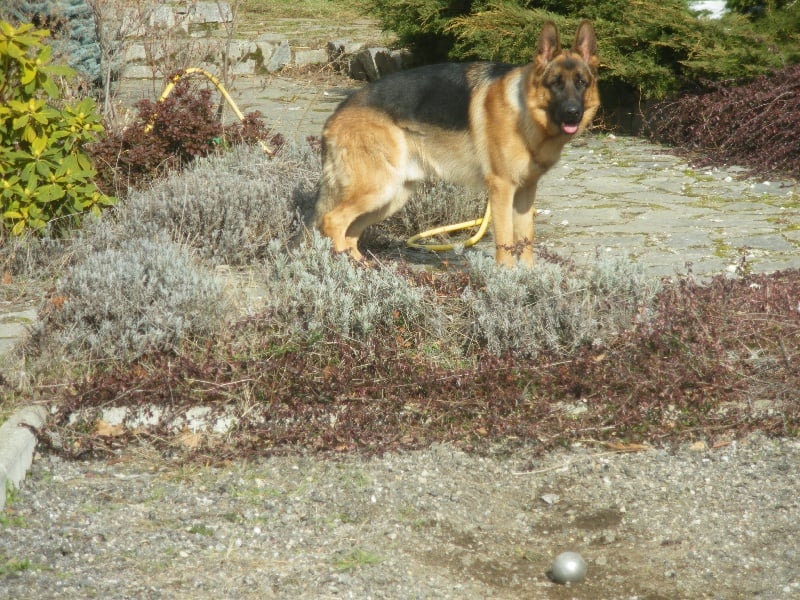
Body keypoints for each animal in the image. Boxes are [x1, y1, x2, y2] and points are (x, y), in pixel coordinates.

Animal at [316, 20, 596, 264]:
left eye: (581, 83)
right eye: (555, 83)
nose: (573, 113)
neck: (524, 109)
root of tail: (336, 114)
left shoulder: (525, 193)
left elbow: (525, 244)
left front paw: (527, 282)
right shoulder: (502, 190)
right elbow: (505, 245)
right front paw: (506, 279)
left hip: (392, 196)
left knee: (351, 233)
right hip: (378, 190)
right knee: (333, 221)